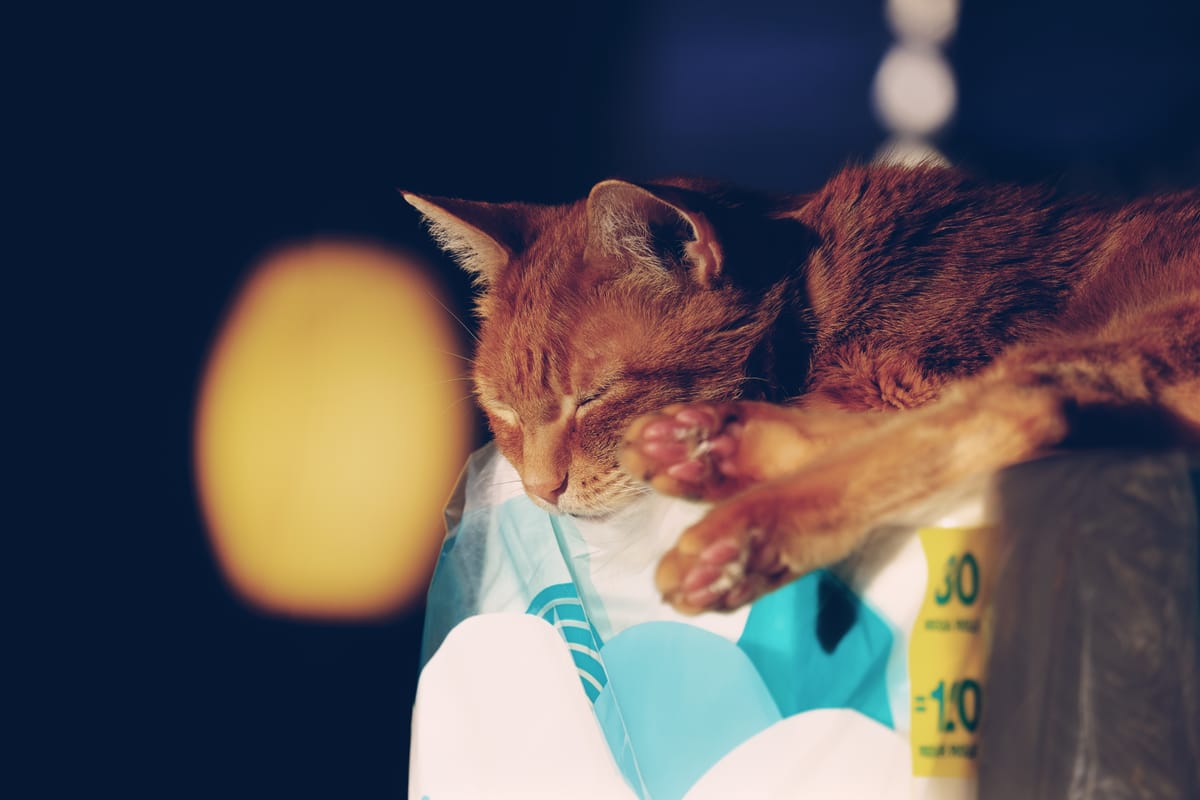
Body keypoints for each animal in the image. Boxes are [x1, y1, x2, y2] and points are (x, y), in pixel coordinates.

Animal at [405, 163, 1200, 614]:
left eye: (595, 397)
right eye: (502, 412)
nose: (542, 491)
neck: (819, 292)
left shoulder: (913, 378)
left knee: (1029, 407)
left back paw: (736, 536)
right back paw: (706, 447)